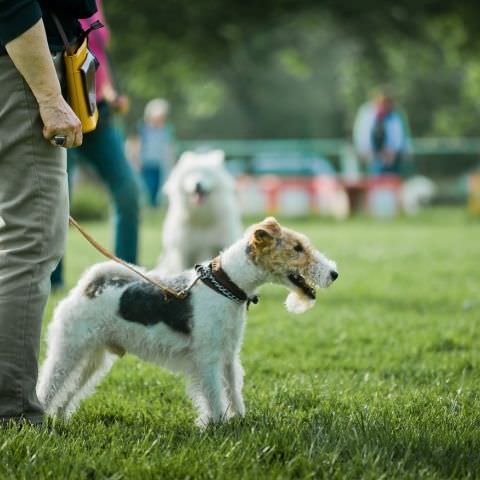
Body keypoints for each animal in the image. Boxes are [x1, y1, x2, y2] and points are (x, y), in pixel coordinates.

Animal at [37, 217, 338, 424]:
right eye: (297, 247)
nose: (334, 274)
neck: (227, 285)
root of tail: (88, 287)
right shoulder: (207, 358)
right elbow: (214, 395)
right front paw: (217, 425)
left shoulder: (228, 356)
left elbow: (233, 391)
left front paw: (239, 420)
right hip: (69, 350)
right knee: (50, 384)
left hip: (92, 358)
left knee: (70, 390)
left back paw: (61, 418)